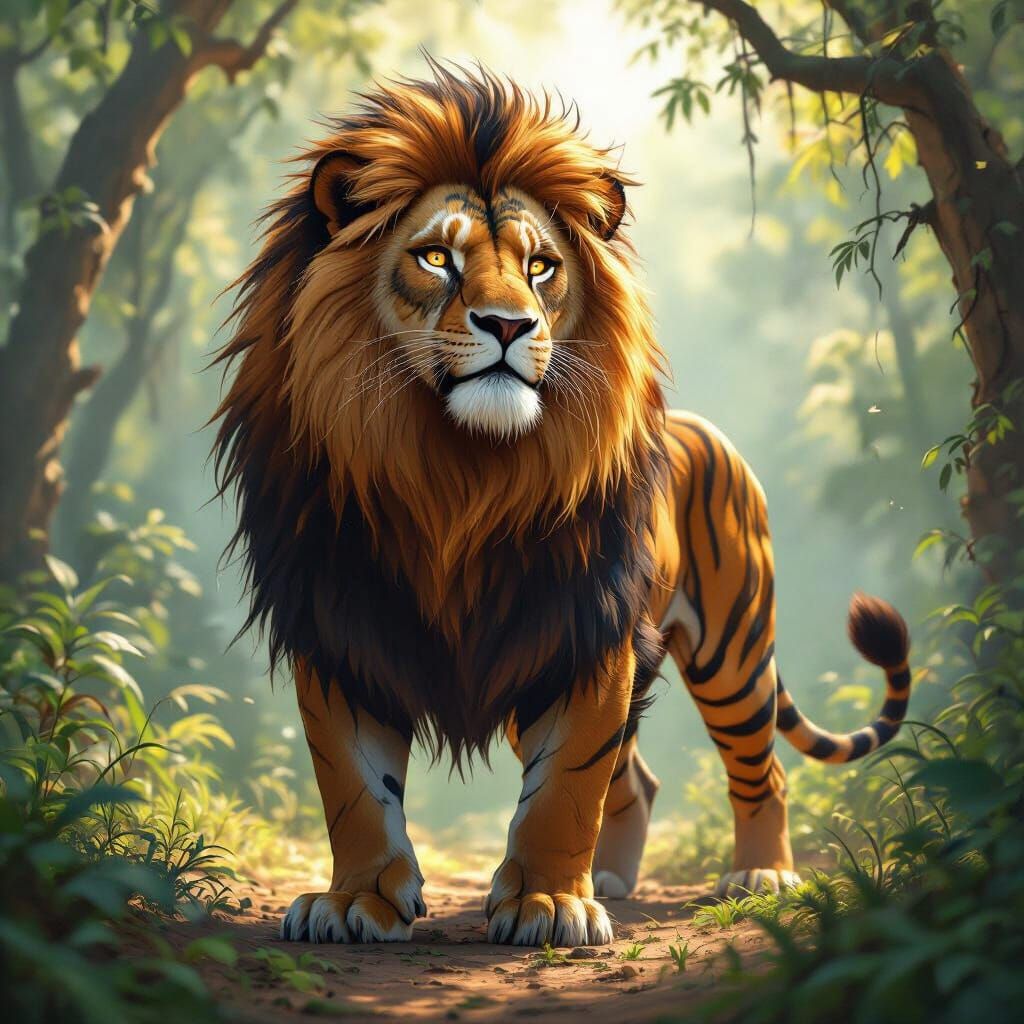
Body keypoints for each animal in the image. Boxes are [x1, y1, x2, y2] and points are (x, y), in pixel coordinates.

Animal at [212, 62, 911, 949]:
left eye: (541, 266)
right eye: (435, 257)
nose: (510, 324)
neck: (455, 475)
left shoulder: (583, 628)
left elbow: (567, 785)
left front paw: (547, 904)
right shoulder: (341, 628)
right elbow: (355, 789)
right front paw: (356, 902)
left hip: (734, 648)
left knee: (762, 770)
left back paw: (760, 876)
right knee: (637, 780)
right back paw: (612, 880)